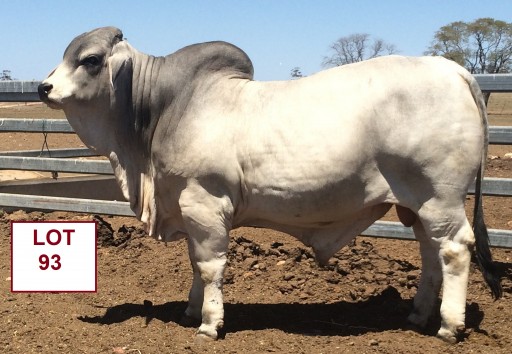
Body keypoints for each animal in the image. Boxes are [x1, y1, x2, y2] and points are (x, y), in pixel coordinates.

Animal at [39, 26, 500, 342]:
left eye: (91, 59)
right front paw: (191, 310)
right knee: (429, 253)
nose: (44, 87)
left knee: (454, 250)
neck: (167, 109)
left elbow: (210, 265)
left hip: (439, 197)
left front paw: (209, 323)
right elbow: (195, 262)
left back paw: (449, 326)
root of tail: (452, 69)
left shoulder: (205, 203)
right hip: (416, 206)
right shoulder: (189, 209)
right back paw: (419, 315)